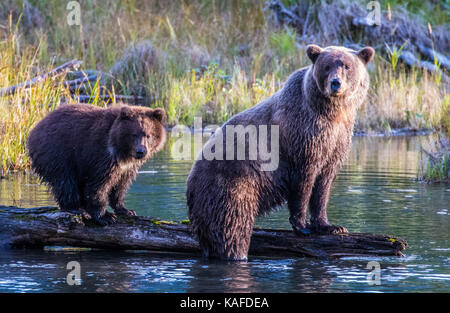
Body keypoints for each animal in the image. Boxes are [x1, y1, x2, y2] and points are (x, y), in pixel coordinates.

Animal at [27, 104, 166, 224]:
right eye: (134, 134)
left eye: (149, 135)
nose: (141, 151)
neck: (122, 152)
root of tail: (34, 130)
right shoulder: (100, 154)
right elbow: (98, 184)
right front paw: (105, 216)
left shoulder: (127, 168)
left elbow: (120, 186)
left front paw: (126, 210)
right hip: (57, 152)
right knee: (65, 181)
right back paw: (77, 209)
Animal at [185, 43, 374, 258]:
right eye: (327, 66)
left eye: (347, 66)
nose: (336, 83)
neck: (331, 113)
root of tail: (190, 186)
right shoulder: (302, 137)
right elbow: (303, 182)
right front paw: (302, 226)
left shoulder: (338, 140)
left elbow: (324, 184)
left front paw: (331, 226)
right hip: (231, 187)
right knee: (232, 229)